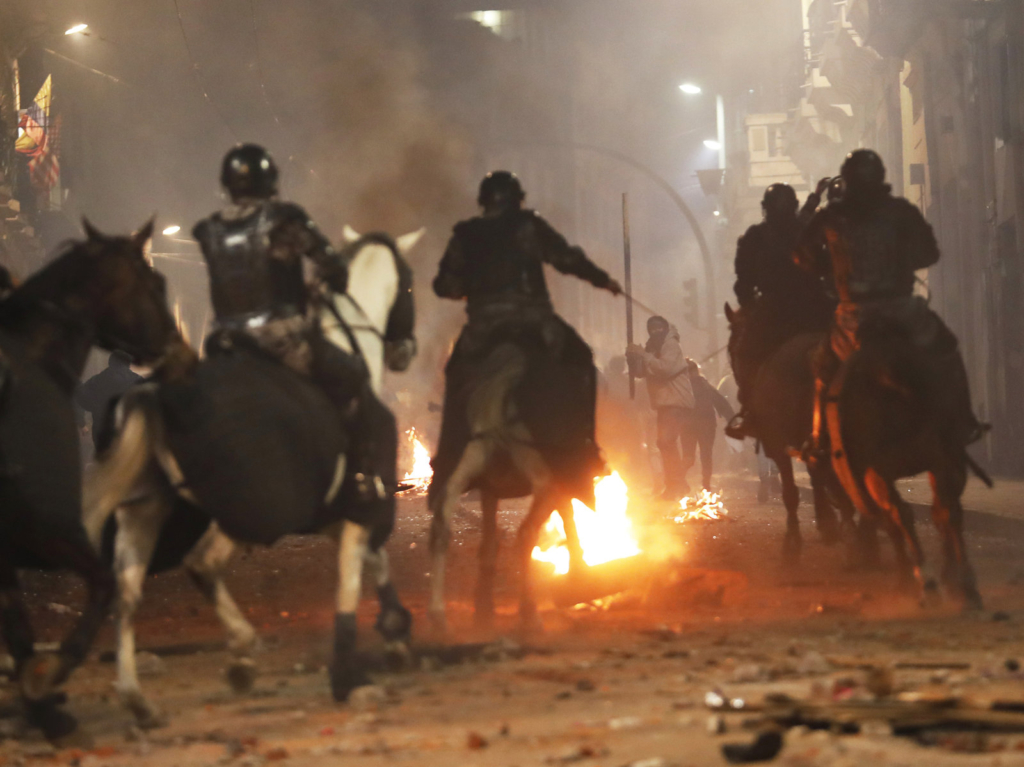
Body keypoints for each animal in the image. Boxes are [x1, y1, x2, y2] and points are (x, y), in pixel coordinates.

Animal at [0, 220, 179, 737]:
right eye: (154, 283)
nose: (172, 345)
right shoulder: (40, 527)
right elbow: (101, 583)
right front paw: (50, 681)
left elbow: (19, 628)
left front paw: (42, 704)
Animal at [83, 229, 423, 725]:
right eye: (410, 284)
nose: (404, 351)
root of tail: (158, 394)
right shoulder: (358, 510)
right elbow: (351, 576)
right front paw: (352, 673)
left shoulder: (330, 513)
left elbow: (374, 562)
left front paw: (395, 635)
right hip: (244, 513)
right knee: (202, 564)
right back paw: (240, 654)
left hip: (145, 510)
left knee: (126, 594)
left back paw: (138, 699)